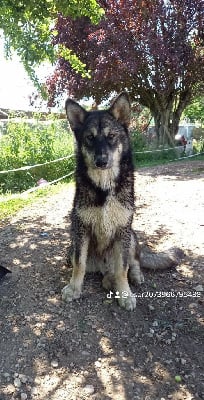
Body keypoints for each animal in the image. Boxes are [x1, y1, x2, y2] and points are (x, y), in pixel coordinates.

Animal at [61, 92, 183, 310]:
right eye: (90, 138)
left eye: (111, 136)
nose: (101, 161)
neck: (104, 187)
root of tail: (102, 266)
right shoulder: (80, 230)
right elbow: (79, 264)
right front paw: (74, 288)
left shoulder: (122, 230)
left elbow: (122, 268)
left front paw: (125, 294)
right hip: (73, 244)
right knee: (101, 273)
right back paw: (109, 281)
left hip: (131, 236)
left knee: (133, 262)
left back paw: (134, 276)